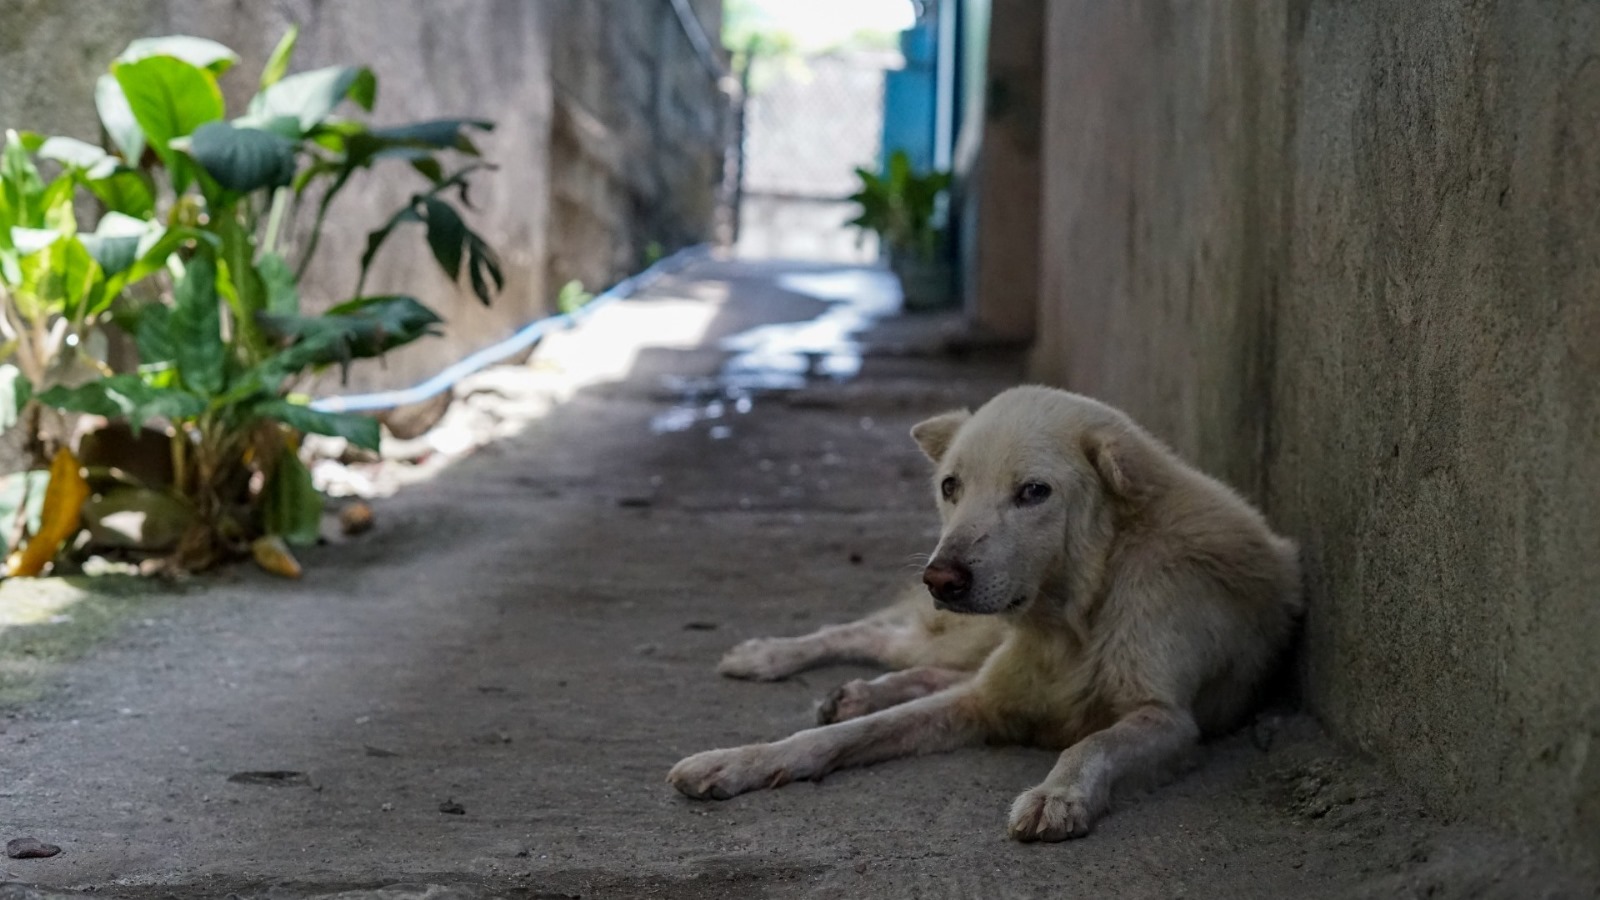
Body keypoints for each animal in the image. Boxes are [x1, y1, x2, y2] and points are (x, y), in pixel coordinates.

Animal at [665, 385, 1299, 839]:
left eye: (1034, 492)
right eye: (951, 486)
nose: (940, 578)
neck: (1075, 620)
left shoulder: (1169, 720)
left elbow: (1091, 743)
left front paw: (1058, 795)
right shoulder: (982, 700)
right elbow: (841, 736)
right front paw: (738, 761)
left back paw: (857, 689)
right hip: (961, 635)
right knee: (878, 636)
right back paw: (770, 657)